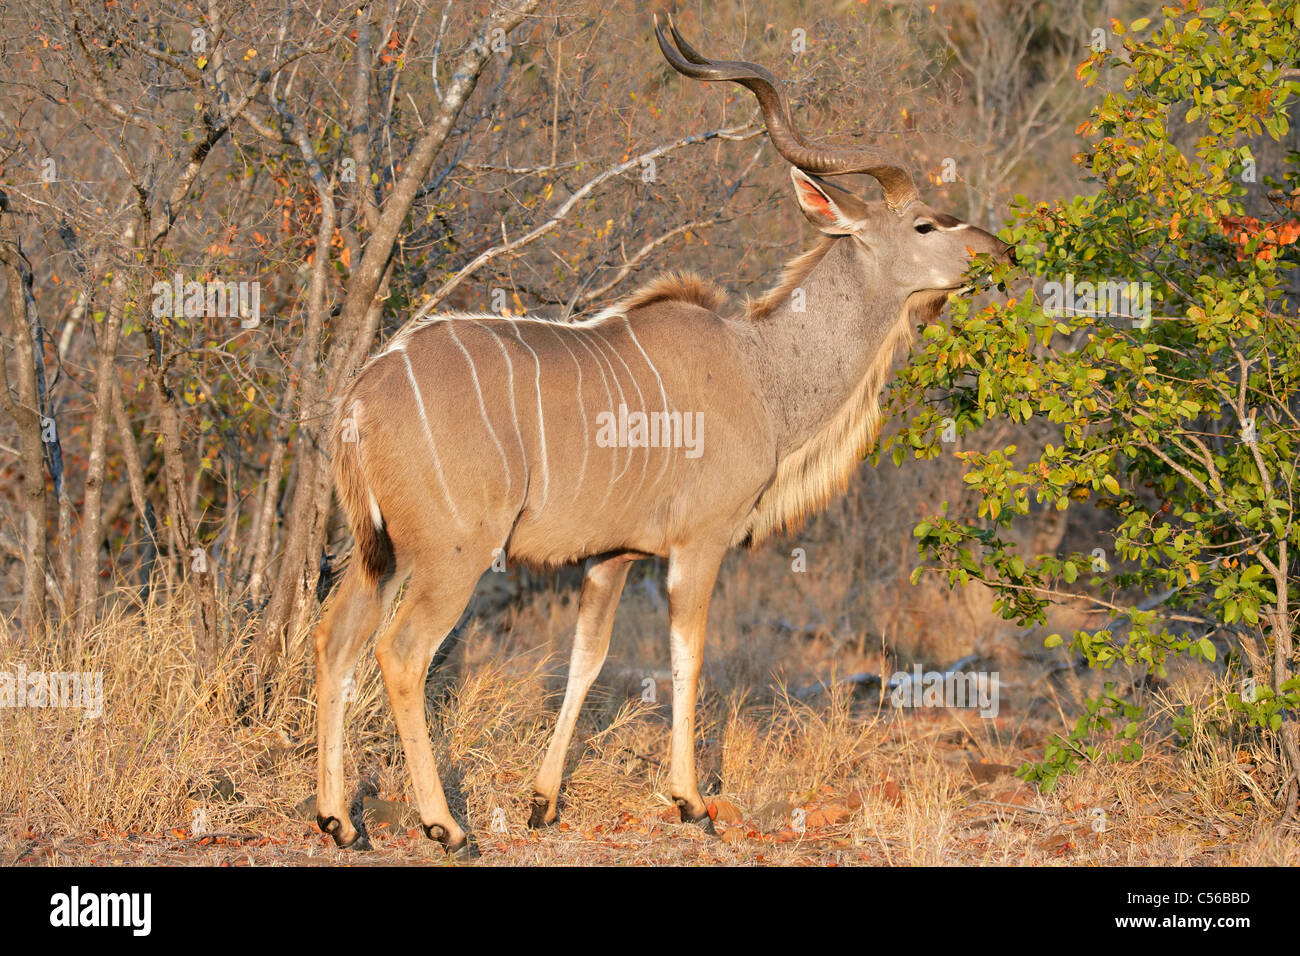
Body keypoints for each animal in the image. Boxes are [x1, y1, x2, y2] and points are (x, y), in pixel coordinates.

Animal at [309, 16, 1008, 853]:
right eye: (926, 223)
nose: (1001, 252)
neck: (760, 367)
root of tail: (361, 393)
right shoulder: (699, 543)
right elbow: (688, 656)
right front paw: (689, 802)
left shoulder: (612, 556)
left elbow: (587, 658)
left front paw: (543, 801)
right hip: (452, 554)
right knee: (401, 652)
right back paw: (445, 826)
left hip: (376, 551)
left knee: (334, 639)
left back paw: (338, 819)